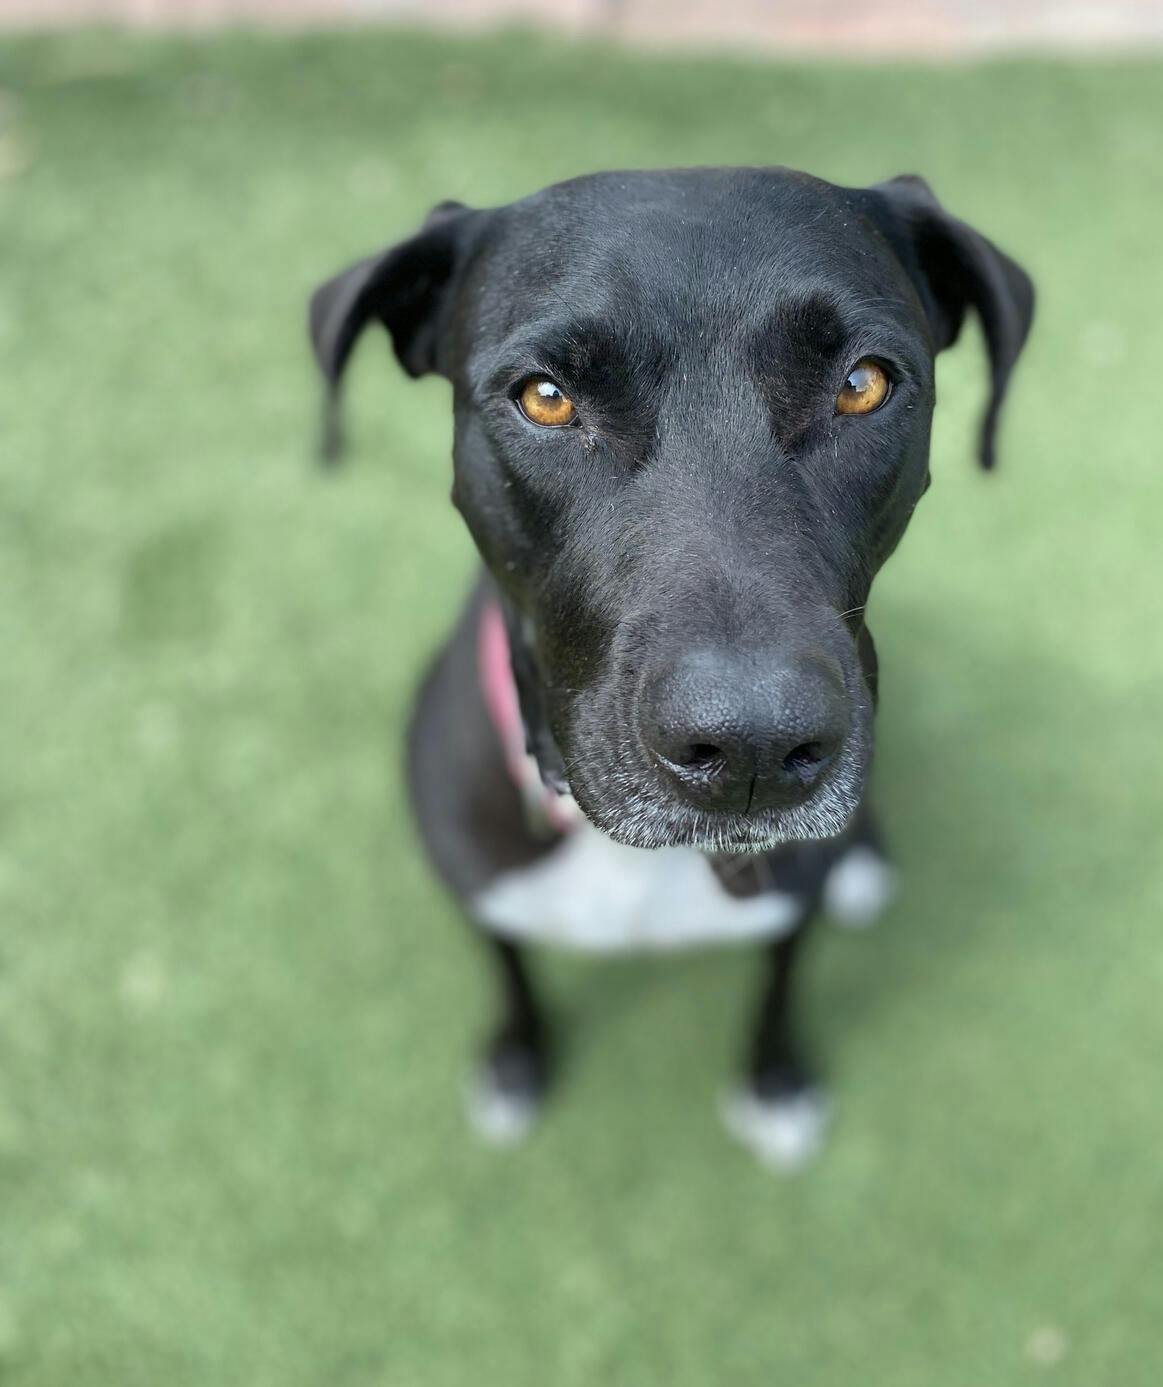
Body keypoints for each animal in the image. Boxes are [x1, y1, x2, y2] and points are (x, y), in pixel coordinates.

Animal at [308, 167, 1033, 1169]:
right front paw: (513, 1060)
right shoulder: (480, 892)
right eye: (544, 397)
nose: (753, 748)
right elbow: (509, 971)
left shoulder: (787, 916)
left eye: (861, 384)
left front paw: (774, 1083)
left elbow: (776, 989)